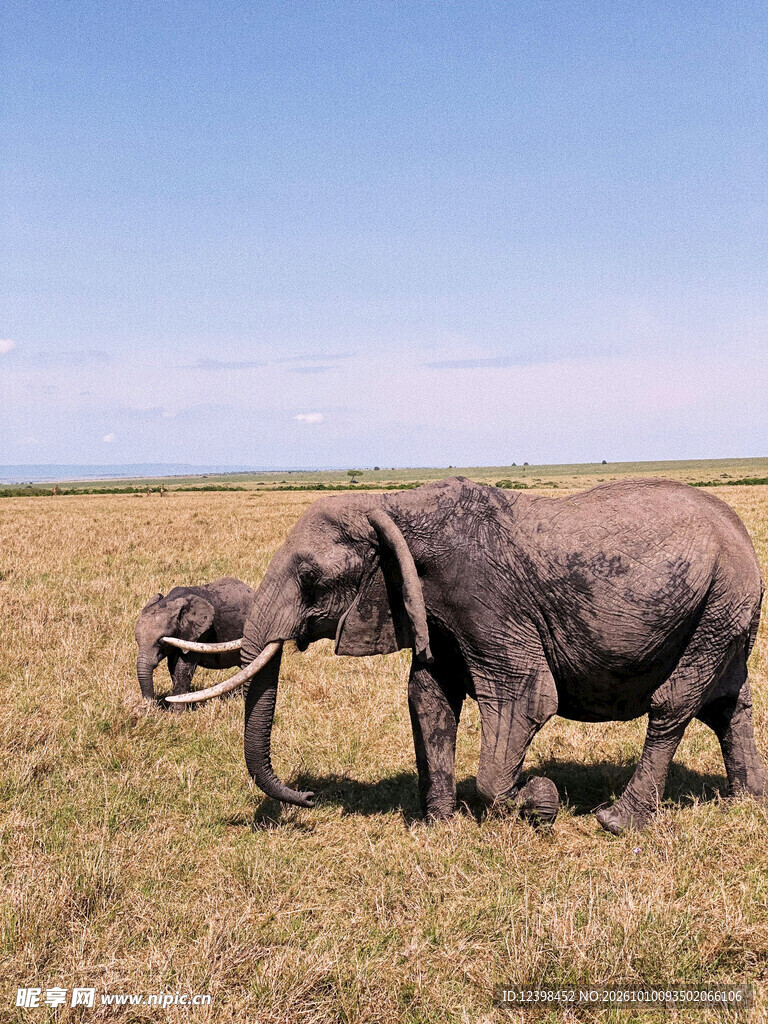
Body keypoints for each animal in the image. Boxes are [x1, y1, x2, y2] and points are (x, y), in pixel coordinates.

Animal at [167, 477, 766, 834]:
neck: (393, 505)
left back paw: (616, 822)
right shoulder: (431, 608)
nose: (310, 797)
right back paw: (747, 802)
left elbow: (525, 697)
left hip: (720, 600)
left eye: (311, 576)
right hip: (725, 610)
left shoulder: (486, 600)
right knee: (728, 705)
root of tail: (740, 533)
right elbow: (427, 698)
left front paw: (539, 801)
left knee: (673, 704)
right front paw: (438, 826)